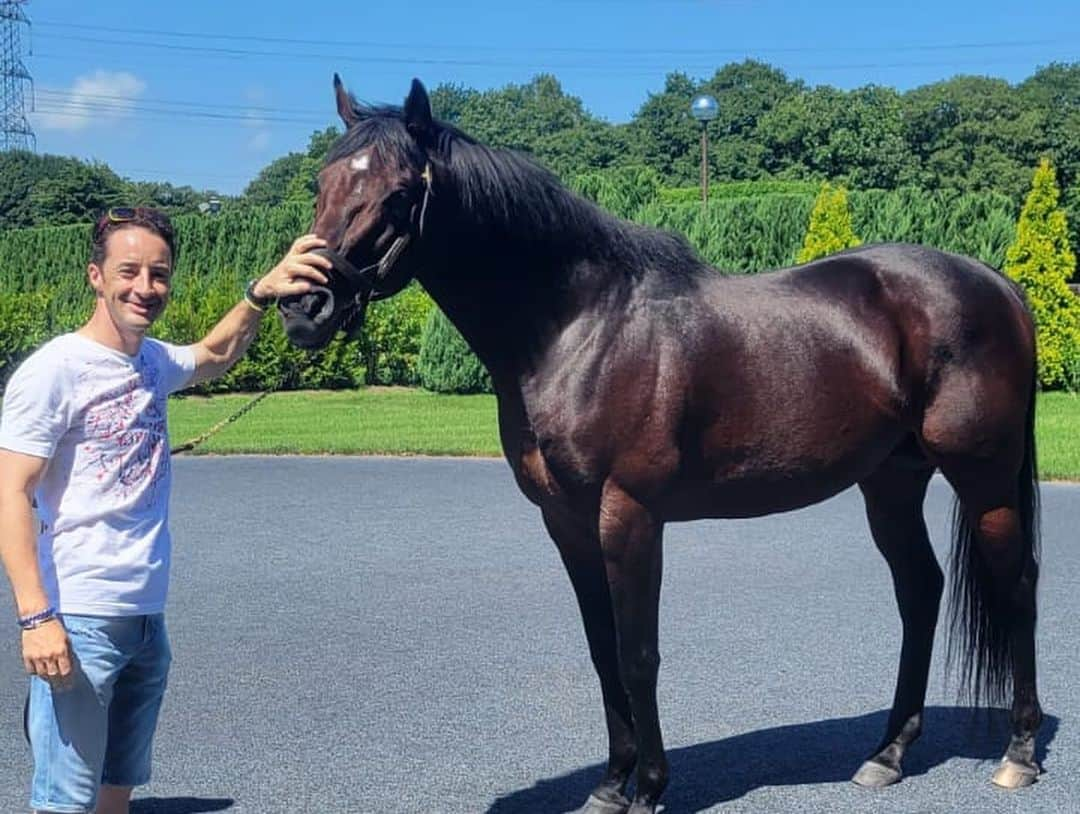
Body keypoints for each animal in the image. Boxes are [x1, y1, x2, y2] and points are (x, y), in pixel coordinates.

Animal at [278, 76, 1045, 811]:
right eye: (322, 183)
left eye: (400, 192)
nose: (302, 307)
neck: (580, 327)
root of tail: (998, 285)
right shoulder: (566, 522)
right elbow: (602, 652)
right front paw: (611, 783)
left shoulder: (631, 514)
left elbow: (638, 653)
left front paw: (648, 787)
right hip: (891, 479)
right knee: (920, 589)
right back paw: (887, 754)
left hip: (982, 476)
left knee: (1017, 584)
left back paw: (1018, 754)